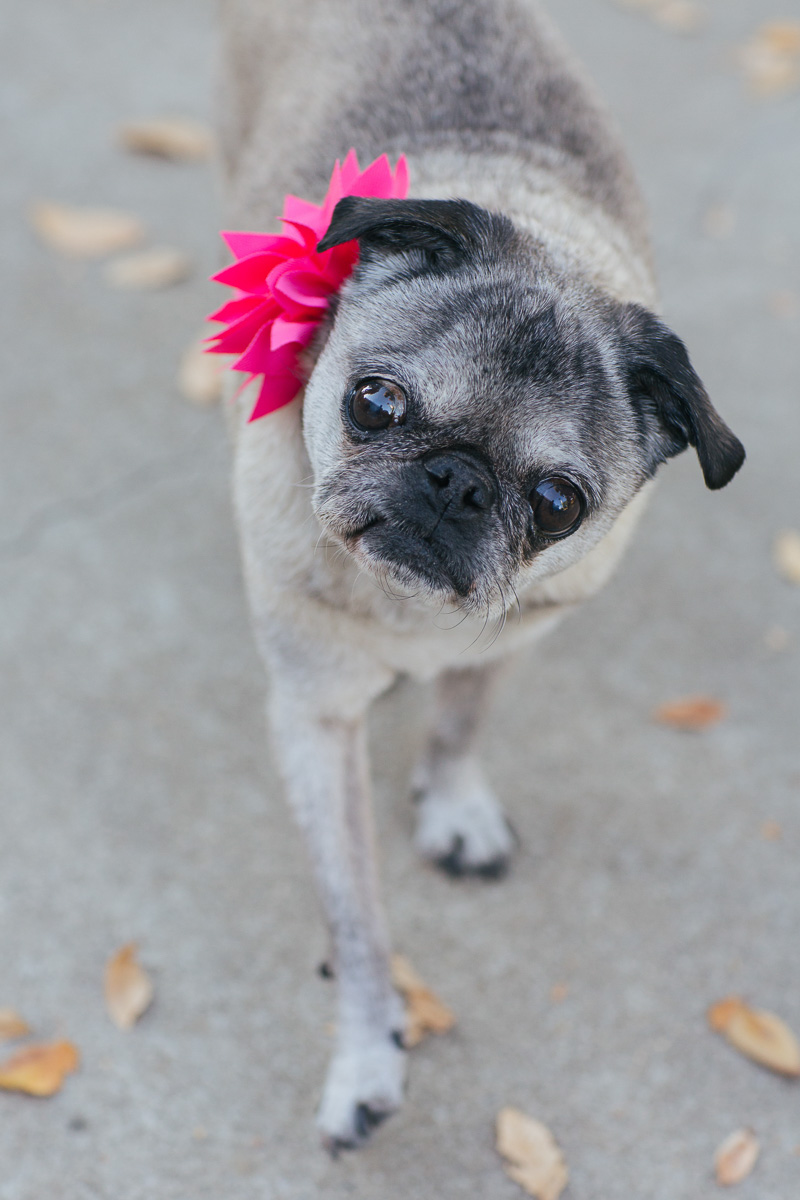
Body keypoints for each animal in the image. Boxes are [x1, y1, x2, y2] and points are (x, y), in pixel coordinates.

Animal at [217, 0, 743, 1147]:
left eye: (556, 503)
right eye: (372, 403)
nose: (453, 481)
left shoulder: (523, 630)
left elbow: (462, 717)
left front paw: (453, 800)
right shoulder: (316, 715)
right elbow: (357, 918)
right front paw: (368, 1049)